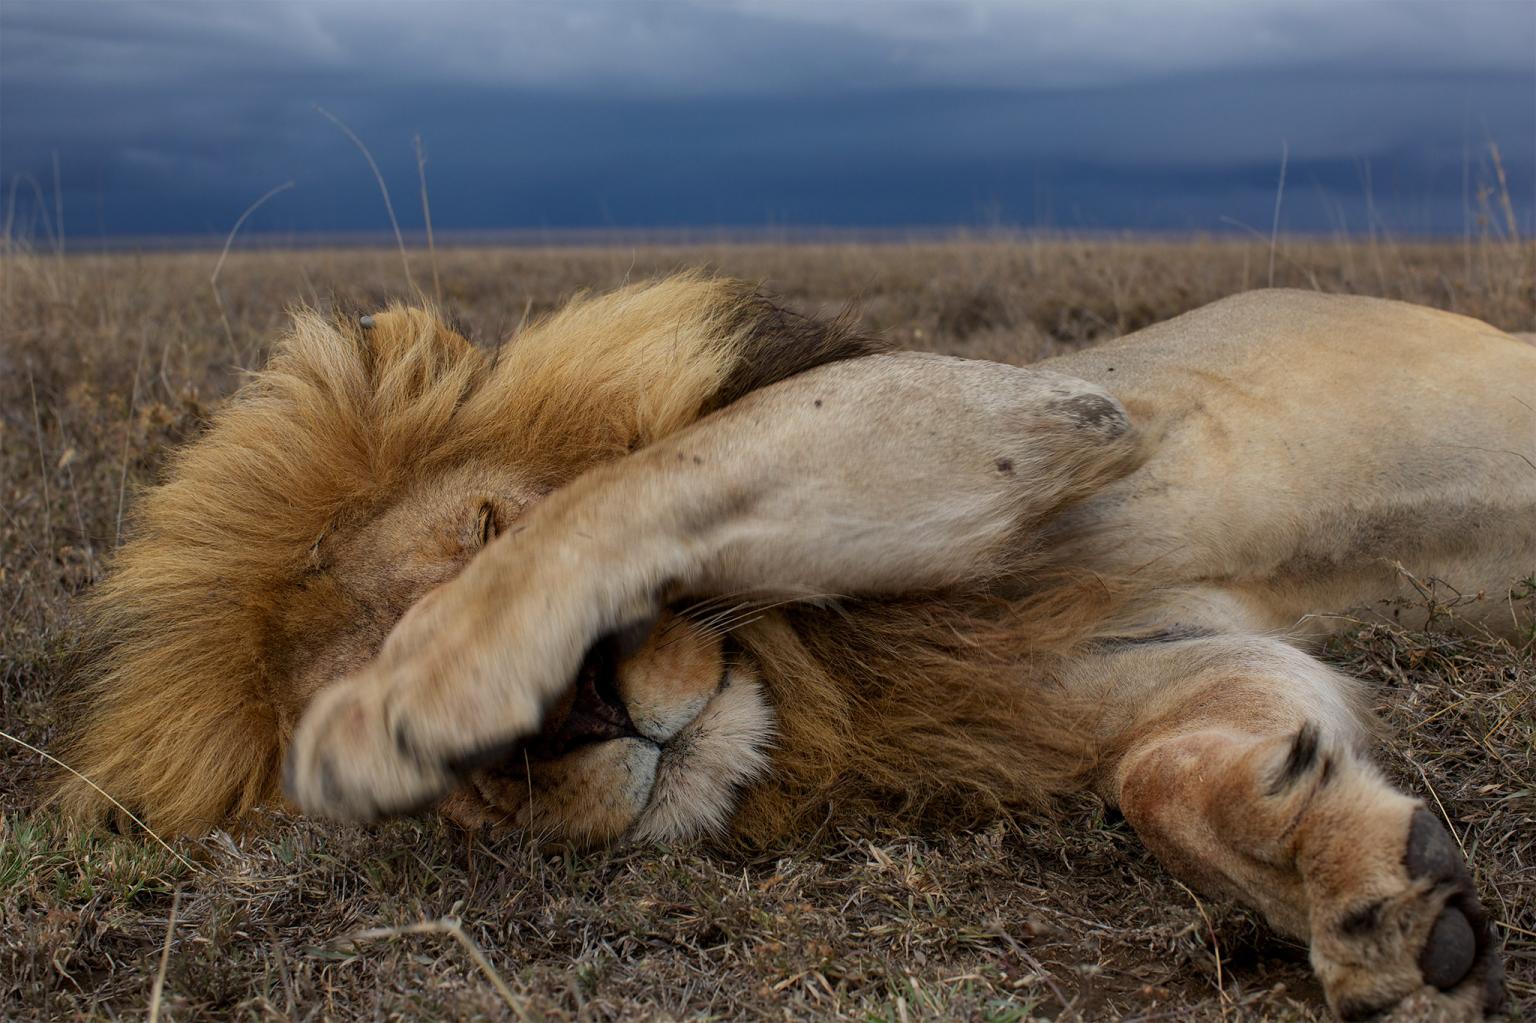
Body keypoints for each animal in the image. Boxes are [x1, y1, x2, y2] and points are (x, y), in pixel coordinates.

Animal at [54, 274, 1529, 1013]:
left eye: (485, 520)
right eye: (456, 798)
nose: (587, 709)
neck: (811, 666)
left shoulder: (1041, 406)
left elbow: (645, 474)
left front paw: (413, 687)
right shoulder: (1133, 654)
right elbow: (1163, 767)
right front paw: (1366, 893)